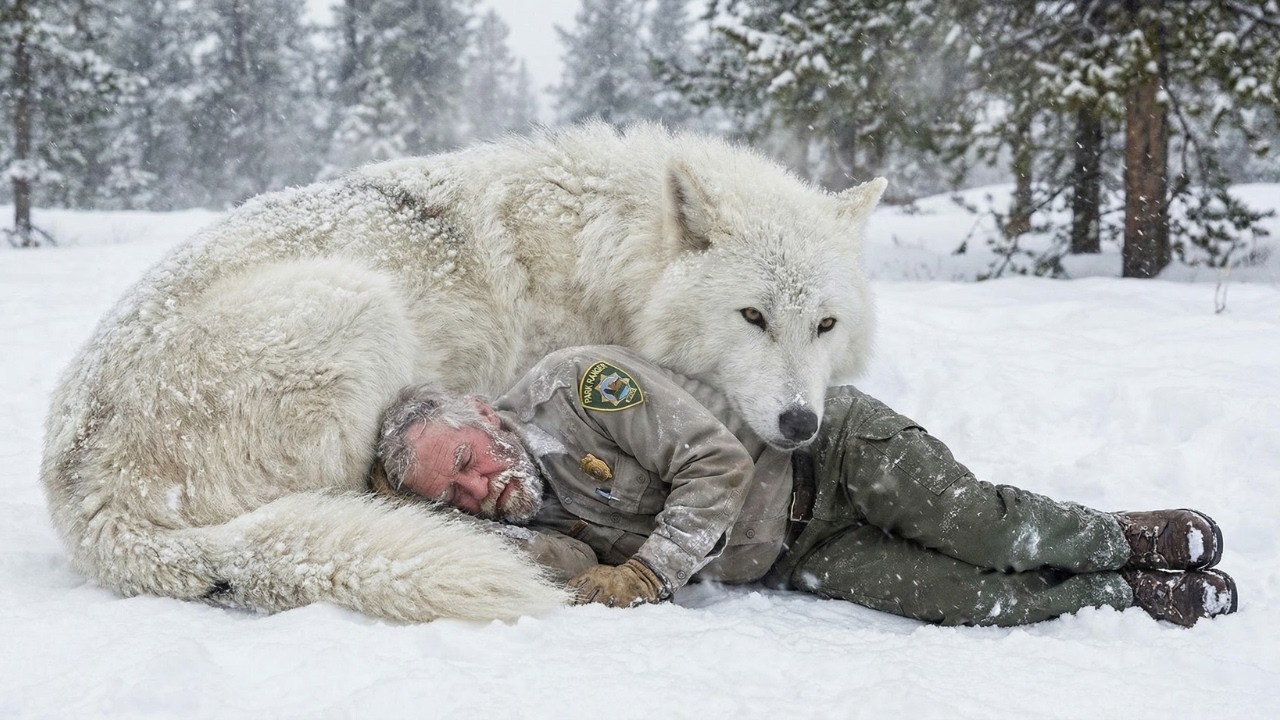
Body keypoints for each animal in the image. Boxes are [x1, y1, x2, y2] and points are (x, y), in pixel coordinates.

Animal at [41, 123, 886, 623]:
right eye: (752, 317)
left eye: (825, 325)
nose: (800, 424)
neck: (606, 255)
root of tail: (87, 501)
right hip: (358, 305)